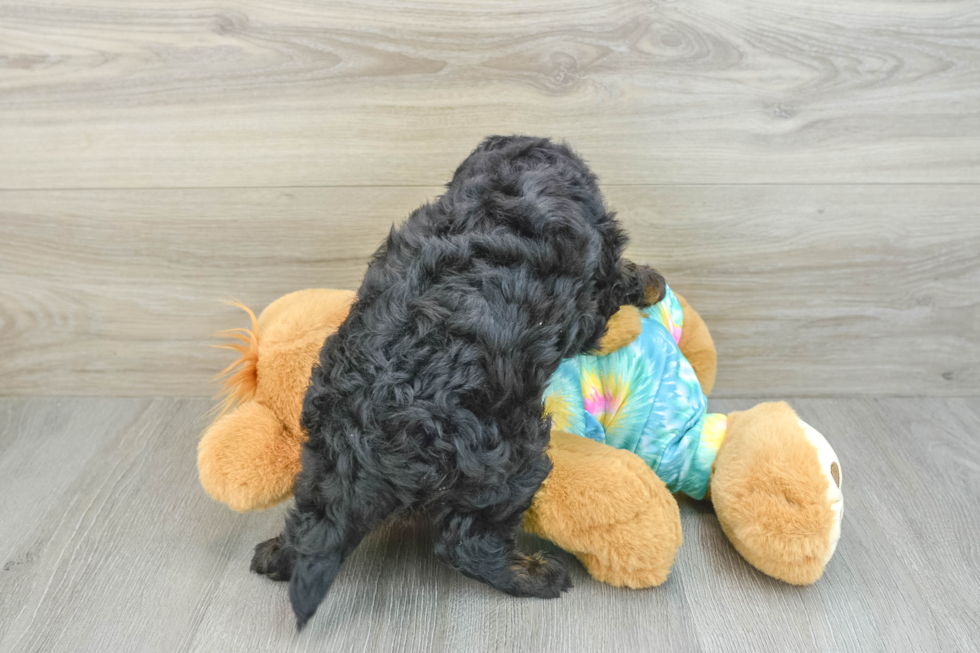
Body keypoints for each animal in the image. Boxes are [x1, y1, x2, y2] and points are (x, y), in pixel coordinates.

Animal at [253, 135, 668, 628]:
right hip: (509, 458)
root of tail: (364, 441)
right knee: (467, 541)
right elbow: (617, 284)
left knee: (309, 520)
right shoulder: (594, 283)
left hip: (320, 454)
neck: (514, 181)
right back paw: (534, 574)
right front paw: (652, 282)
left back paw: (275, 556)